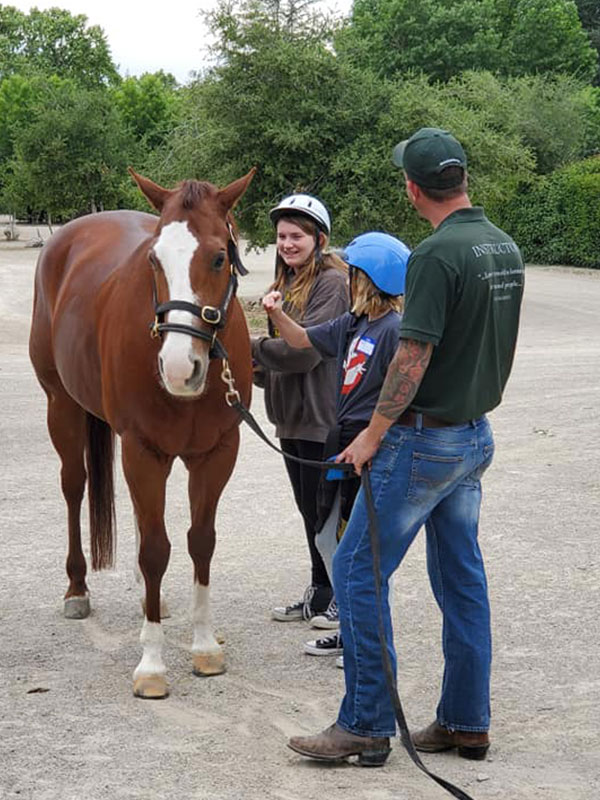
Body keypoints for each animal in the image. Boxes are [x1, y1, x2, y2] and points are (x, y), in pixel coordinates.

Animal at [29, 167, 254, 692]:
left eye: (219, 256)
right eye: (154, 259)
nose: (179, 367)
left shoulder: (217, 452)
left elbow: (200, 540)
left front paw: (205, 647)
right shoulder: (142, 450)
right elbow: (156, 549)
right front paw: (152, 665)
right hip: (61, 406)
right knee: (74, 487)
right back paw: (76, 589)